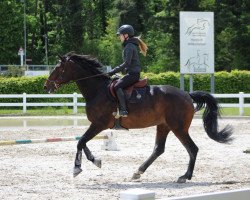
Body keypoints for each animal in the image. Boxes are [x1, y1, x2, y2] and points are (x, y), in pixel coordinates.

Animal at [44, 52, 233, 183]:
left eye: (57, 68)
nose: (46, 86)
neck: (97, 90)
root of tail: (187, 94)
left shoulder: (99, 124)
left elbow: (81, 142)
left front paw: (79, 167)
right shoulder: (97, 125)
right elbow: (82, 142)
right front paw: (94, 160)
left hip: (178, 128)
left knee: (192, 149)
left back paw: (185, 176)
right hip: (164, 126)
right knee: (159, 149)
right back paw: (138, 172)